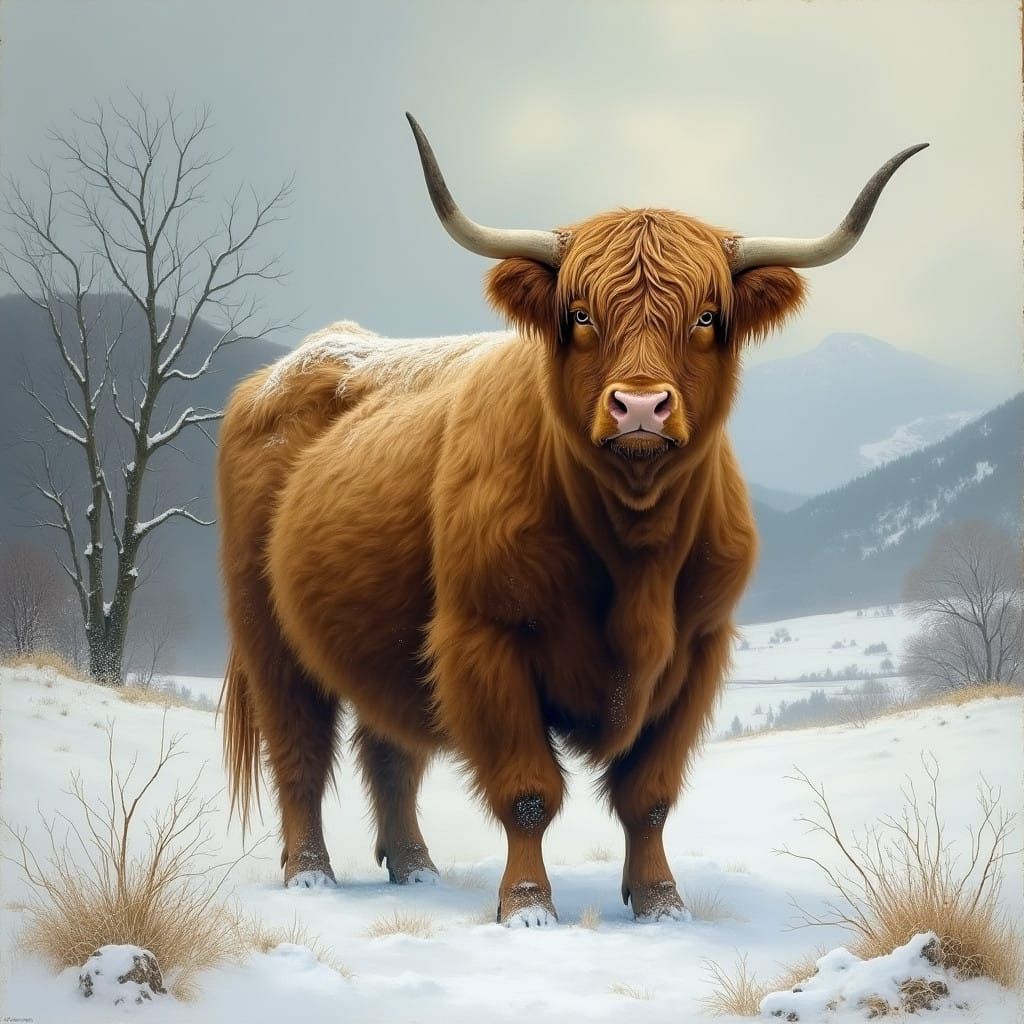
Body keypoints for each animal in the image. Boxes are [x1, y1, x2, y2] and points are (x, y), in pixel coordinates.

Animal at [219, 115, 925, 925]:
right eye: (581, 315)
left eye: (707, 317)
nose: (641, 406)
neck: (634, 546)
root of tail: (306, 355)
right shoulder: (486, 638)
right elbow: (528, 790)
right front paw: (527, 907)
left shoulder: (697, 651)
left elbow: (648, 795)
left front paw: (661, 902)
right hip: (266, 631)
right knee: (299, 748)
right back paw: (310, 874)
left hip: (381, 637)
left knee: (389, 750)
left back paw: (416, 867)